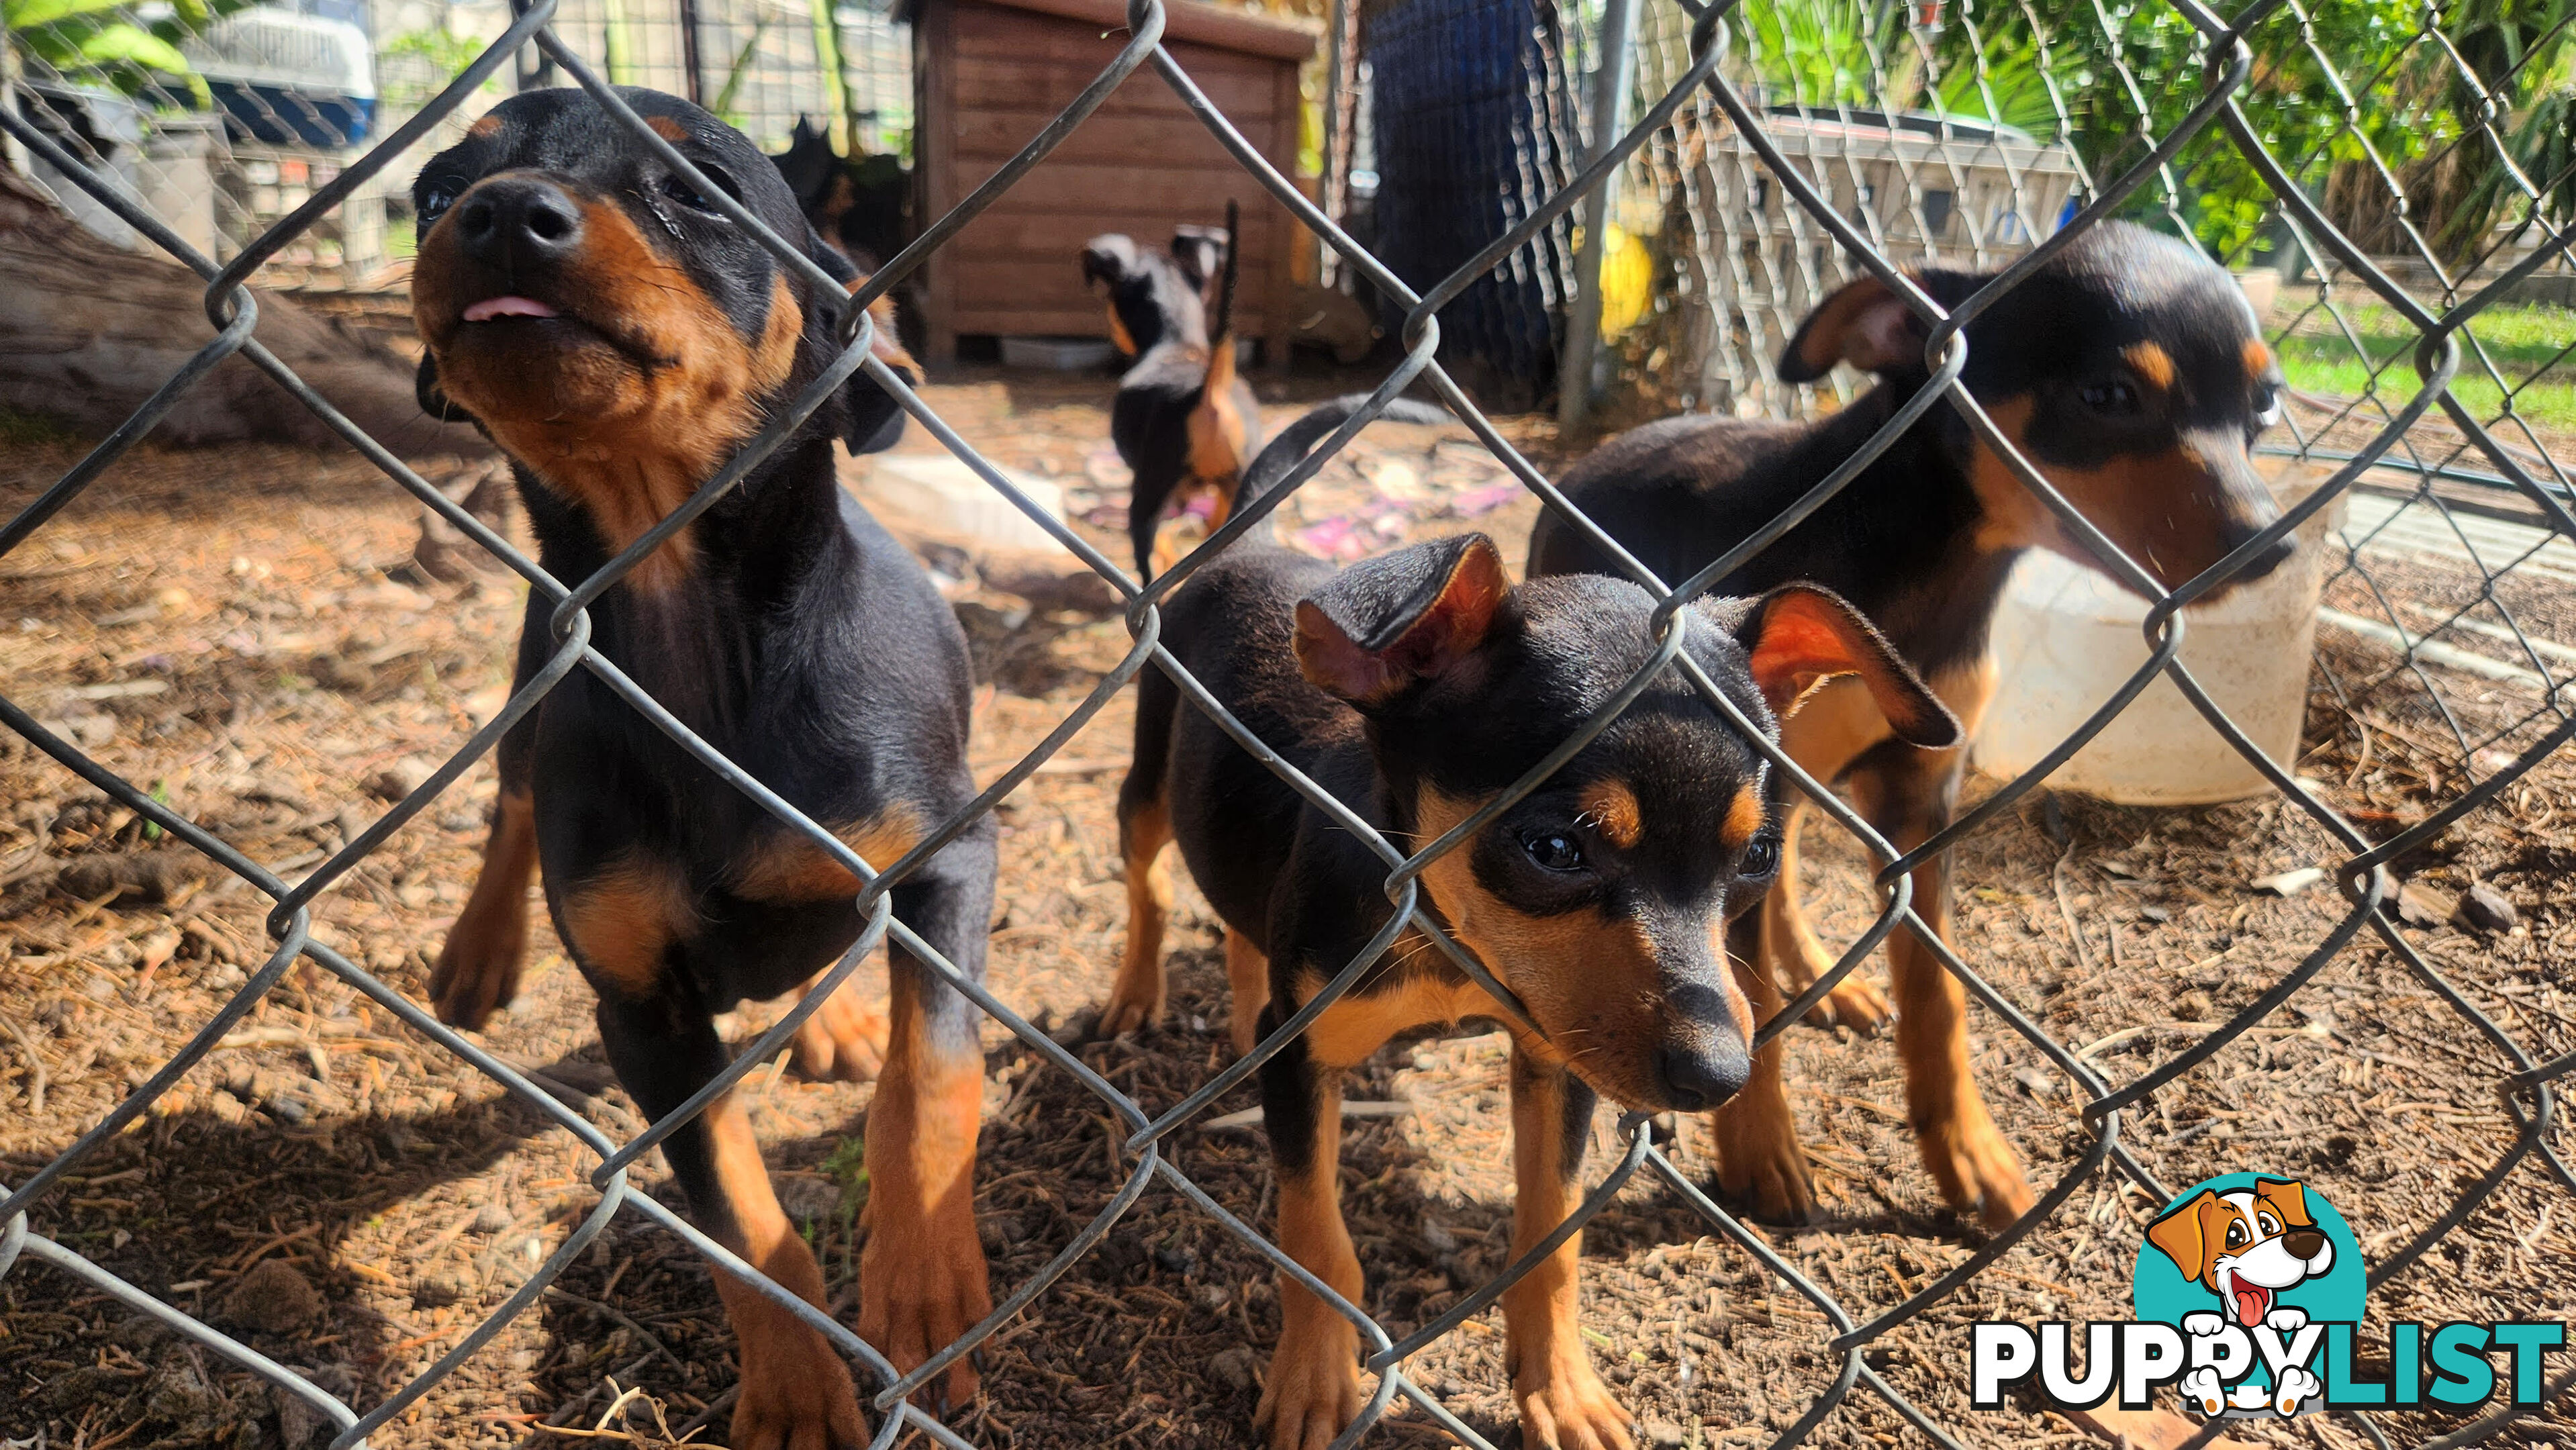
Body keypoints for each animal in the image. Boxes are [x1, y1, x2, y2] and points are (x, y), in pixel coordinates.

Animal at [412, 88, 994, 1442]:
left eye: (702, 186)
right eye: (435, 188)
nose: (498, 213)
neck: (704, 654)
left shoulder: (950, 860)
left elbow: (934, 1076)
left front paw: (927, 1281)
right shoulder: (645, 1018)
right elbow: (737, 1219)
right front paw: (794, 1387)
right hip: (532, 677)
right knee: (512, 805)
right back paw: (478, 953)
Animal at [1076, 205, 1257, 579]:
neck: (1177, 342)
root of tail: (1207, 392)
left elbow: (1160, 543)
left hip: (1148, 493)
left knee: (1147, 561)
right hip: (1241, 488)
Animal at [1118, 399, 1958, 1450]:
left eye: (1758, 857)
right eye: (1554, 848)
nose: (1722, 1076)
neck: (1447, 946)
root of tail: (1255, 545)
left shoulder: (1556, 1062)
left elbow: (1550, 1238)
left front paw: (1559, 1389)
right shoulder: (1306, 1054)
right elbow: (1316, 1234)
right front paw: (1315, 1379)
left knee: (1236, 921)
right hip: (1147, 781)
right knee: (1148, 882)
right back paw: (1134, 994)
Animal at [1525, 224, 2297, 1236]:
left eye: (2265, 403)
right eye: (2108, 397)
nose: (2273, 545)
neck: (1936, 569)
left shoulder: (1920, 794)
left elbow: (1936, 994)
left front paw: (1966, 1153)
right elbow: (1749, 993)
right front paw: (1759, 1148)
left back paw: (1830, 974)